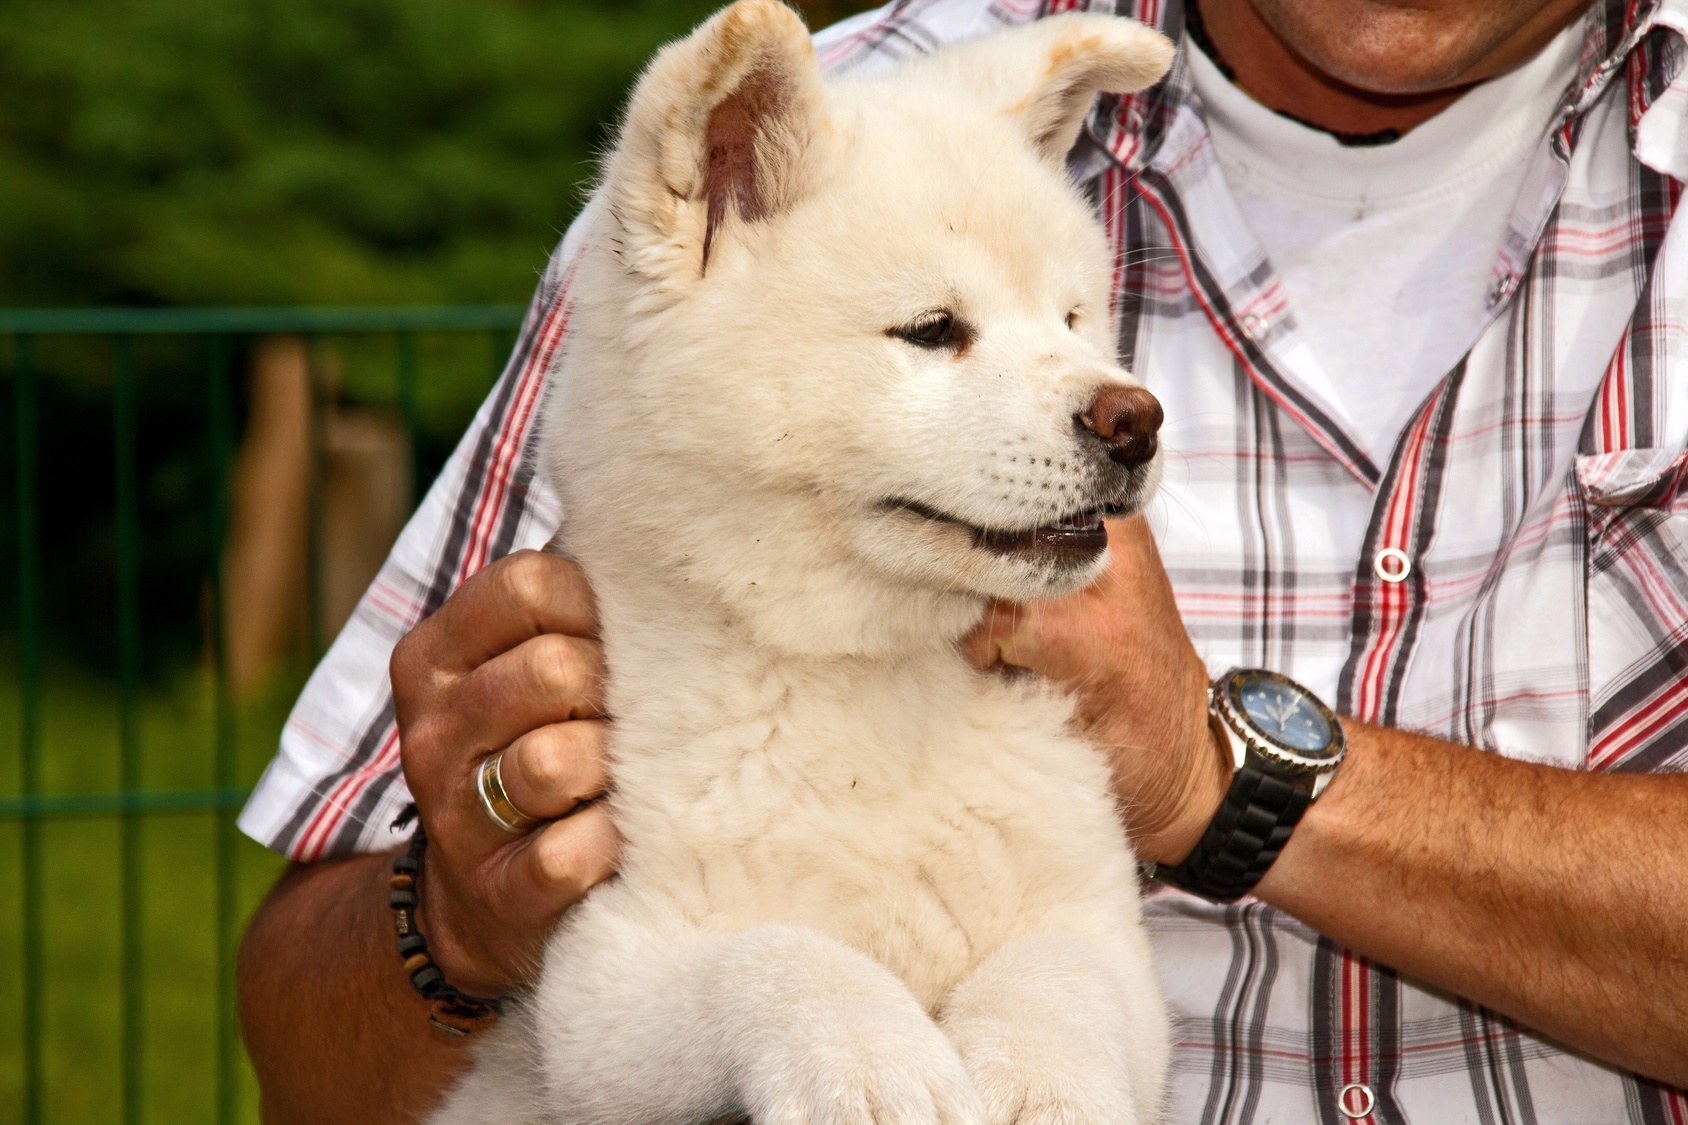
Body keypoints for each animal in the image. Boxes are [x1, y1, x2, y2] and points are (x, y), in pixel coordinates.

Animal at [435, 4, 1174, 1114]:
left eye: (1073, 318)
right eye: (932, 331)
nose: (1135, 422)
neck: (869, 682)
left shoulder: (1097, 929)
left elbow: (1052, 981)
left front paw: (1043, 1087)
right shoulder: (602, 989)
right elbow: (785, 954)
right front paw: (875, 1069)